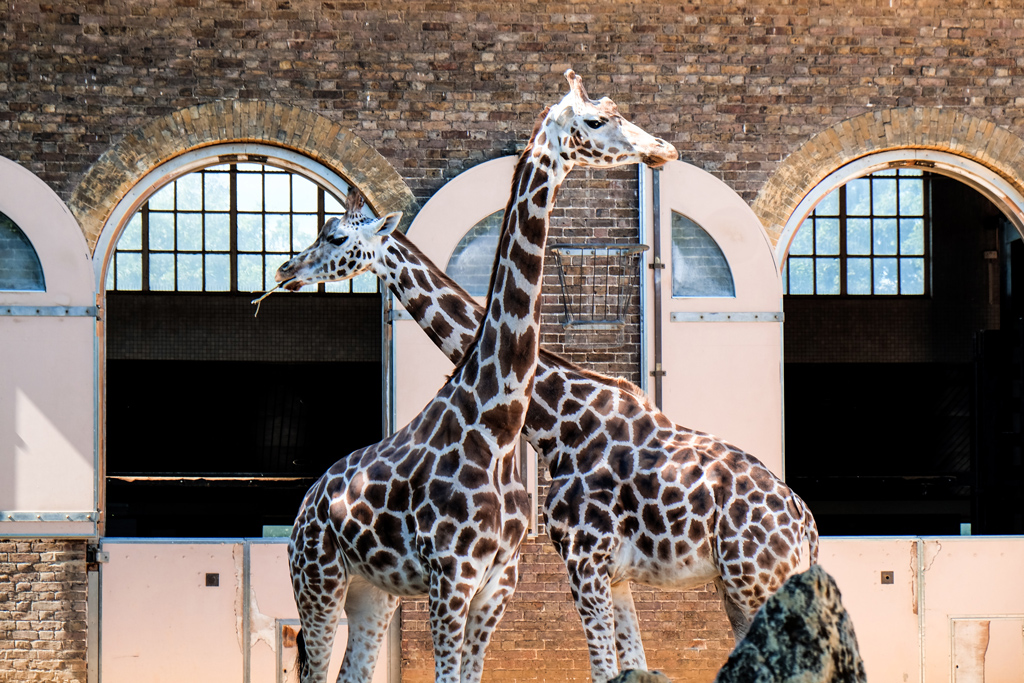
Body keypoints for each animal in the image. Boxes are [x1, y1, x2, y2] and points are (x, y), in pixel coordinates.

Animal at [278, 150, 815, 683]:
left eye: (336, 237)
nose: (286, 269)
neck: (558, 421)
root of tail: (805, 525)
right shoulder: (612, 575)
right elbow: (631, 664)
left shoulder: (583, 559)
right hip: (742, 587)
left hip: (754, 582)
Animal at [280, 70, 679, 683]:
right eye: (595, 120)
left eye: (337, 237)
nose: (285, 269)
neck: (500, 421)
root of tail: (305, 503)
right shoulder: (454, 577)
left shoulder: (499, 581)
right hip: (319, 581)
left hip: (373, 591)